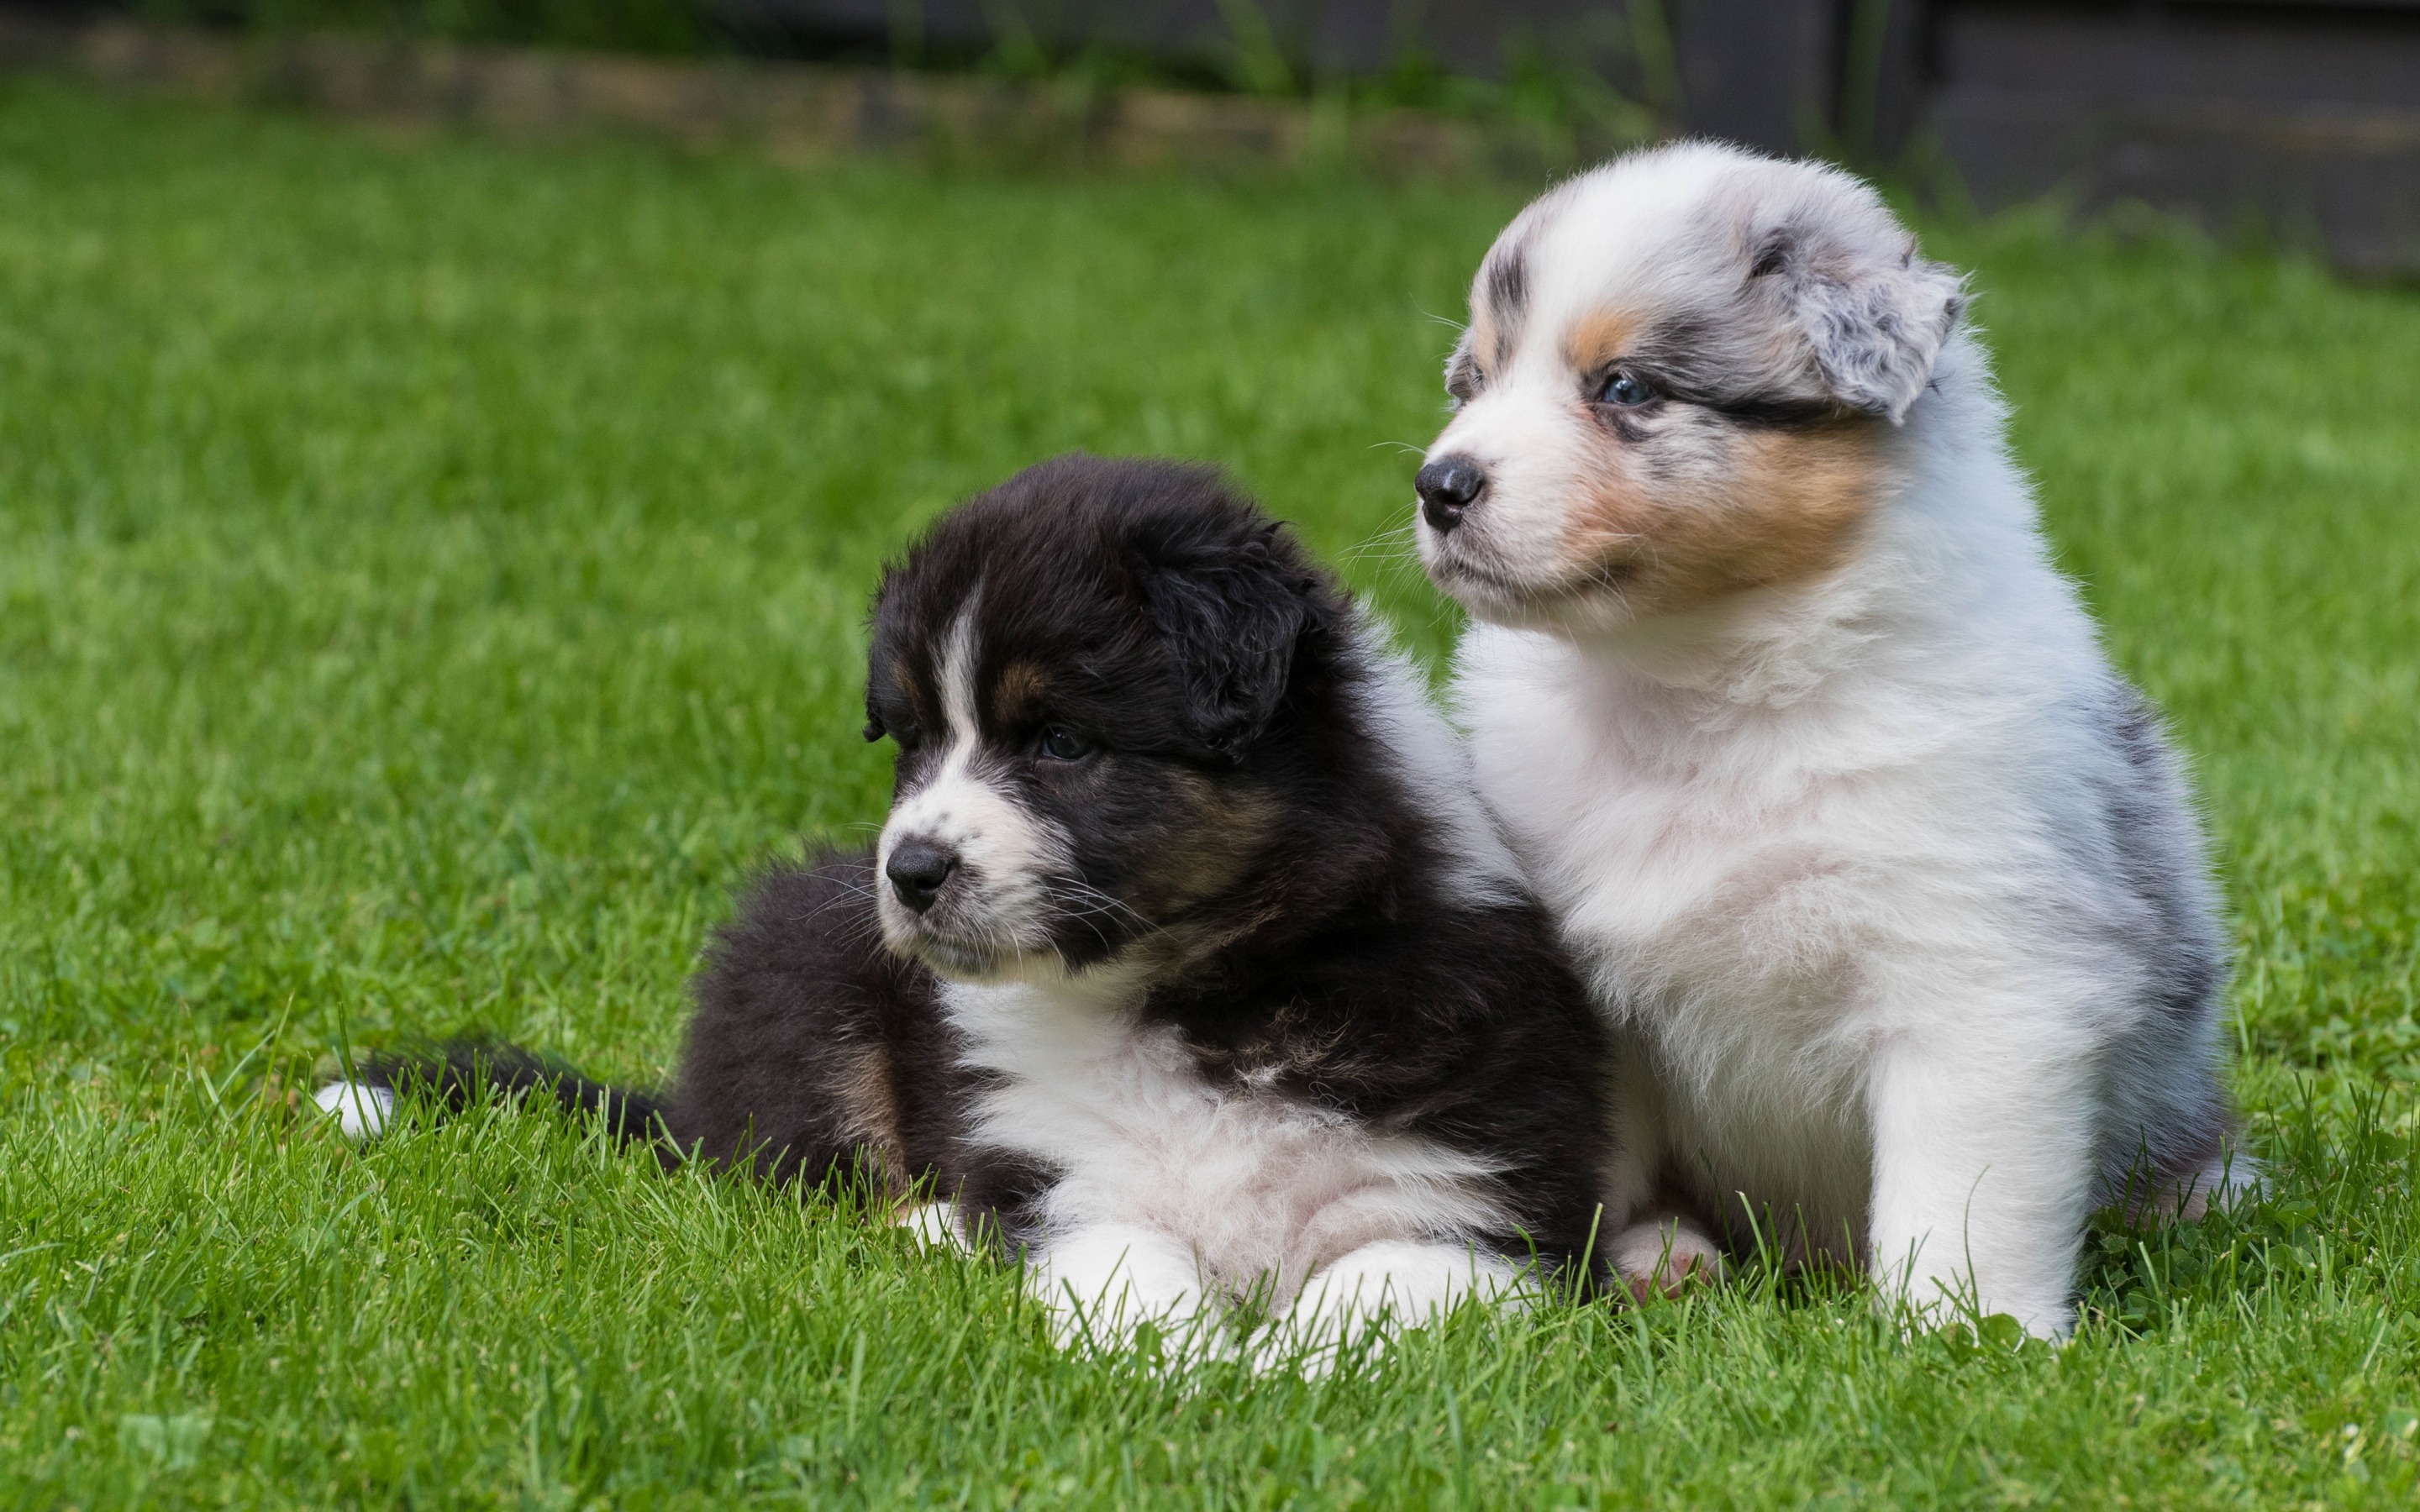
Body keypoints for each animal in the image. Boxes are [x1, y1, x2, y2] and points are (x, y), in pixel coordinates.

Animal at [322, 454, 1607, 1364]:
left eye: (1062, 742)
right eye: (914, 740)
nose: (913, 871)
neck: (1198, 995)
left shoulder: (1487, 1201)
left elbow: (1378, 1287)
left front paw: (1289, 1369)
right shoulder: (1059, 1174)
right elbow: (1126, 1270)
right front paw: (1187, 1368)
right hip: (804, 970)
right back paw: (931, 1228)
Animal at [1413, 147, 2245, 1335]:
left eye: (1625, 389)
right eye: (1473, 384)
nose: (1438, 486)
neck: (1707, 685)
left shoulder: (1981, 976)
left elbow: (1959, 1197)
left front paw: (1962, 1336)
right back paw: (1668, 1262)